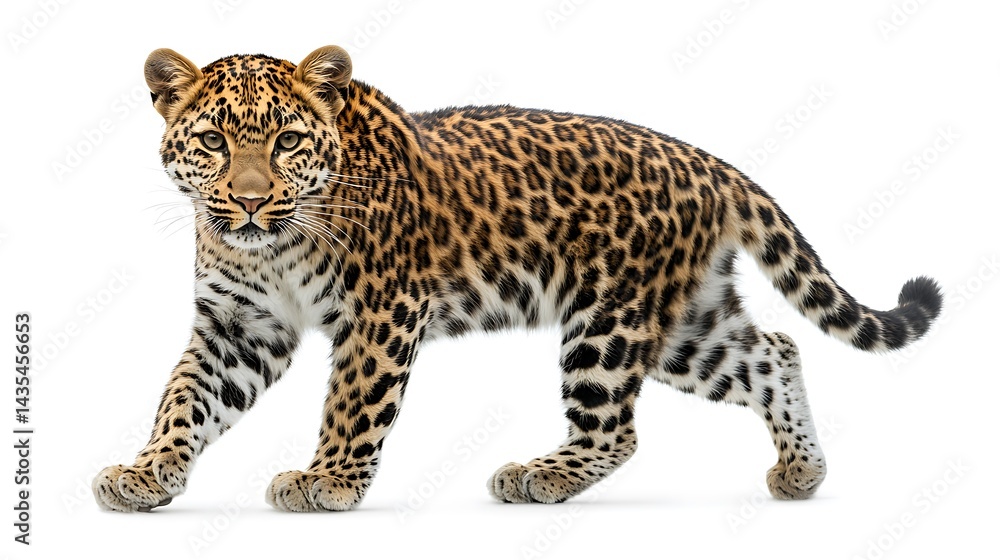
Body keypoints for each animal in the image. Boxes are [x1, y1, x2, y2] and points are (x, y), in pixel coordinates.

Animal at [93, 45, 942, 512]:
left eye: (288, 141)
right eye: (213, 140)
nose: (247, 198)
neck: (268, 246)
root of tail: (706, 162)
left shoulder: (382, 312)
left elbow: (352, 404)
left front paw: (327, 481)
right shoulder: (241, 328)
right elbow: (185, 400)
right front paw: (147, 474)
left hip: (611, 320)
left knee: (617, 431)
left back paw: (537, 476)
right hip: (684, 327)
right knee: (774, 351)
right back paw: (801, 470)